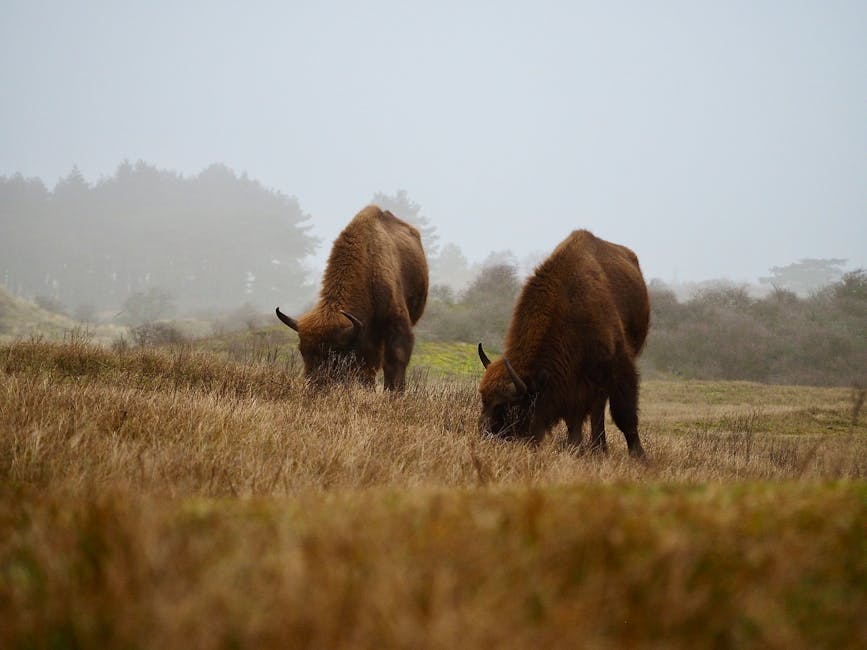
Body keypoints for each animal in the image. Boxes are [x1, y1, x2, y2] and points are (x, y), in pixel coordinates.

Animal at [276, 205, 428, 390]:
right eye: (302, 351)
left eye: (335, 354)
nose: (315, 386)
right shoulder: (366, 336)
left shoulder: (395, 325)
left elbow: (394, 360)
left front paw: (394, 392)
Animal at [477, 230, 649, 458]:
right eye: (483, 400)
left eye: (507, 406)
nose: (486, 437)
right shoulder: (572, 381)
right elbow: (574, 418)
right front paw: (574, 447)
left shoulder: (618, 367)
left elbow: (624, 415)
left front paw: (639, 457)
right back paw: (597, 448)